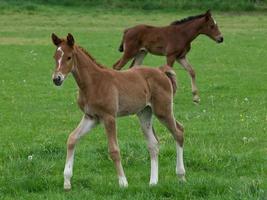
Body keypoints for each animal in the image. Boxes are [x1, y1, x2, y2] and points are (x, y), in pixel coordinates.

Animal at [51, 33, 186, 191]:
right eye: (55, 56)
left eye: (69, 57)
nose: (57, 79)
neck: (93, 83)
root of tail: (161, 71)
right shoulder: (91, 117)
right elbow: (72, 139)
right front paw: (67, 181)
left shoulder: (109, 117)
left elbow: (114, 150)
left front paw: (123, 182)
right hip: (144, 113)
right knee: (153, 144)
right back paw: (153, 182)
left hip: (163, 111)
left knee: (178, 132)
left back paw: (181, 176)